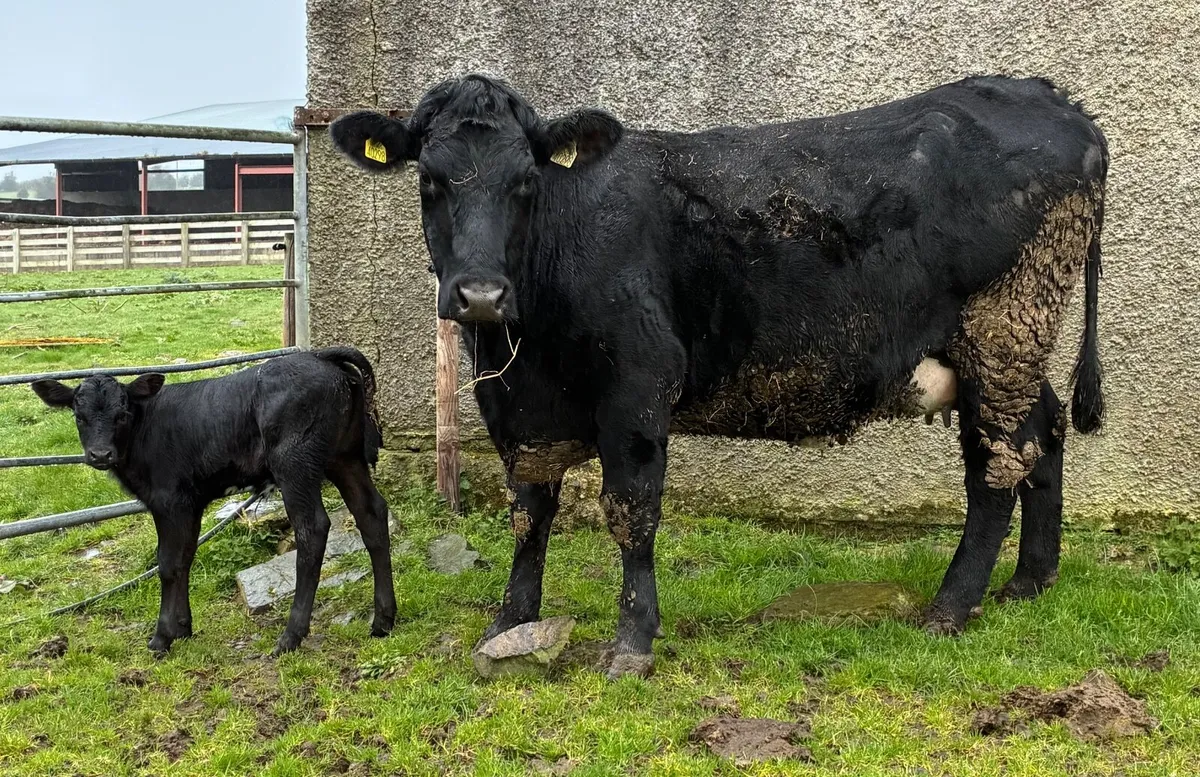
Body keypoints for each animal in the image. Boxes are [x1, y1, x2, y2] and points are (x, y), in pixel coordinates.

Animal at [31, 347, 396, 656]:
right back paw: (384, 620)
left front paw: (162, 637)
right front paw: (182, 628)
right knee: (372, 513)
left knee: (313, 529)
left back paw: (291, 636)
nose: (100, 454)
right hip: (345, 457)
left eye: (122, 414)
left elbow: (167, 563)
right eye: (78, 415)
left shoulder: (169, 500)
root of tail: (320, 356)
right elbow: (185, 558)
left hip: (294, 464)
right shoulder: (190, 503)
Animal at [330, 73, 1107, 679]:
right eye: (429, 180)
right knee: (1043, 436)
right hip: (1010, 345)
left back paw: (952, 605)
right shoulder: (514, 406)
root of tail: (1051, 97)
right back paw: (1029, 581)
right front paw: (510, 625)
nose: (481, 295)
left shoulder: (639, 384)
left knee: (998, 465)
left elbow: (631, 511)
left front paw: (633, 642)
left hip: (1003, 327)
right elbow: (529, 511)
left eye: (525, 182)